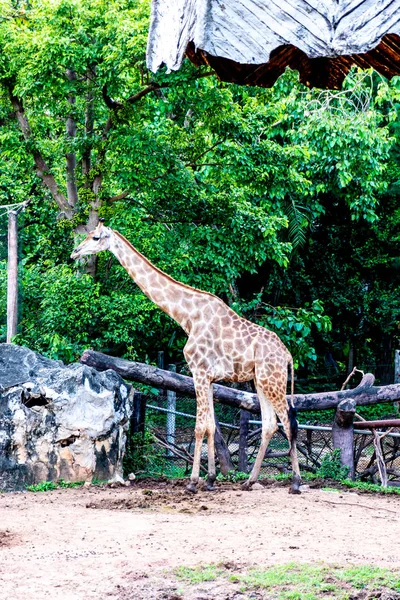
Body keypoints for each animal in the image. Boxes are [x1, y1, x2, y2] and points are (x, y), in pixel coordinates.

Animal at [72, 220, 302, 492]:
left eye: (95, 237)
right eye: (88, 235)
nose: (75, 251)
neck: (187, 318)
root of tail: (287, 355)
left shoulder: (199, 372)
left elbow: (199, 427)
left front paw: (193, 483)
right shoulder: (210, 378)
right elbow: (211, 426)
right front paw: (210, 480)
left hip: (272, 380)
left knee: (288, 422)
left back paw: (296, 482)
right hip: (261, 381)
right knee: (269, 424)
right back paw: (250, 481)